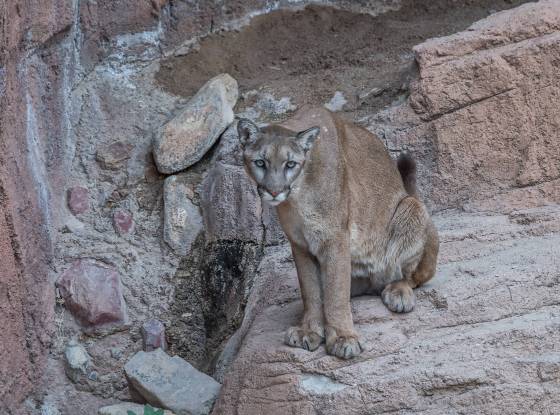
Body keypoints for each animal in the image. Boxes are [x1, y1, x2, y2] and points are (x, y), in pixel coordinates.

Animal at [236, 107, 438, 360]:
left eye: (290, 164)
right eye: (260, 162)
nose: (274, 191)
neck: (297, 197)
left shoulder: (335, 239)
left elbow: (336, 293)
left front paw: (343, 337)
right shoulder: (300, 245)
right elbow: (311, 291)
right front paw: (309, 330)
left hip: (413, 208)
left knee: (411, 276)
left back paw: (398, 292)